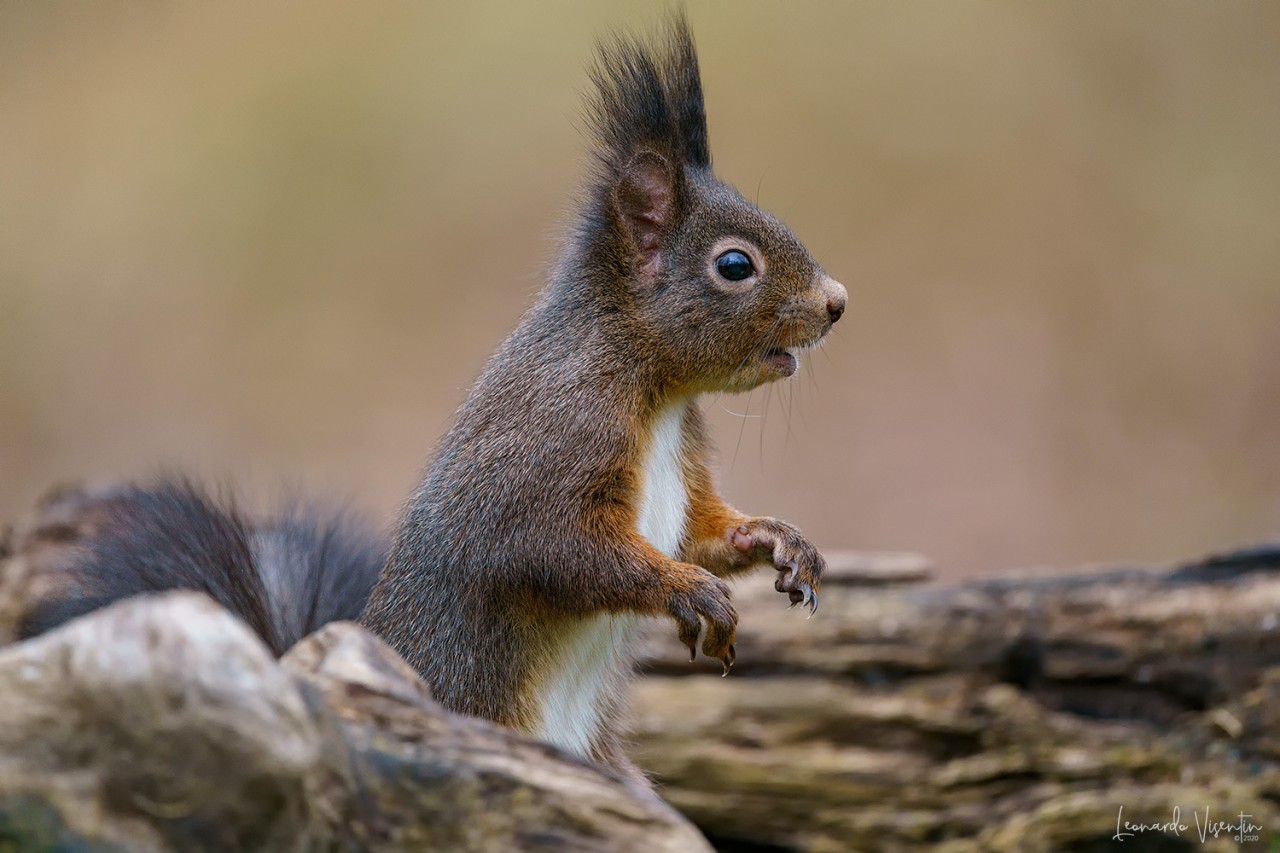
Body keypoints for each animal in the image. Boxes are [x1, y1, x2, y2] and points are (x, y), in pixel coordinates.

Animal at [18, 15, 845, 788]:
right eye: (734, 265)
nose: (836, 302)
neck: (654, 388)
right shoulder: (550, 440)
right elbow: (557, 547)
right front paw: (689, 590)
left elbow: (702, 528)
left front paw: (777, 540)